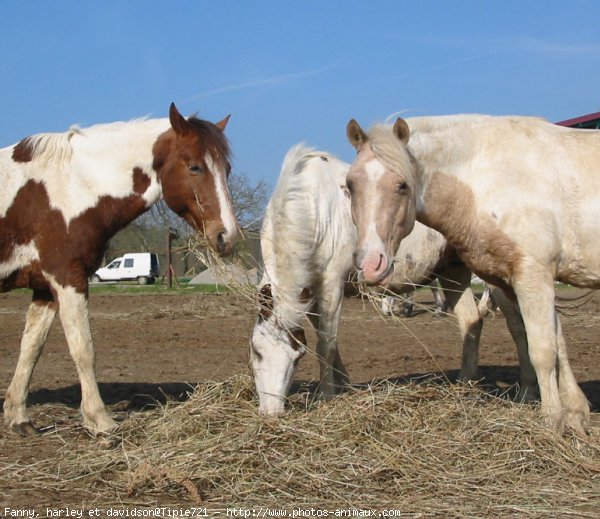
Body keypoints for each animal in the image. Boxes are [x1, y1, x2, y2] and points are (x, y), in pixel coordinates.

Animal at [0, 102, 239, 434]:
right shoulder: (68, 279)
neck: (70, 188)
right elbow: (83, 349)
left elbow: (31, 348)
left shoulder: (45, 286)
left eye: (226, 170)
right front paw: (100, 421)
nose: (227, 236)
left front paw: (18, 417)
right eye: (194, 167)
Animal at [248, 144, 536, 416]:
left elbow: (326, 344)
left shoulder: (331, 284)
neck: (314, 207)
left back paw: (527, 392)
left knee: (517, 326)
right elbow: (328, 340)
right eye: (256, 351)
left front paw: (325, 397)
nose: (272, 413)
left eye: (297, 356)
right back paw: (465, 385)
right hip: (453, 271)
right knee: (471, 320)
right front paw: (343, 386)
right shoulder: (311, 291)